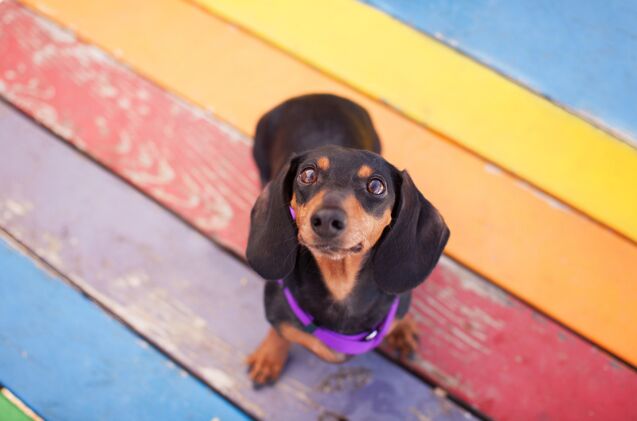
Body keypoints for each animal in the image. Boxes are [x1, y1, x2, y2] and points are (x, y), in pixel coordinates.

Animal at [243, 94, 448, 384]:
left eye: (376, 185)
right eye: (307, 174)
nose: (326, 220)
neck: (340, 283)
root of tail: (319, 95)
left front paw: (402, 325)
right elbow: (280, 331)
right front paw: (269, 355)